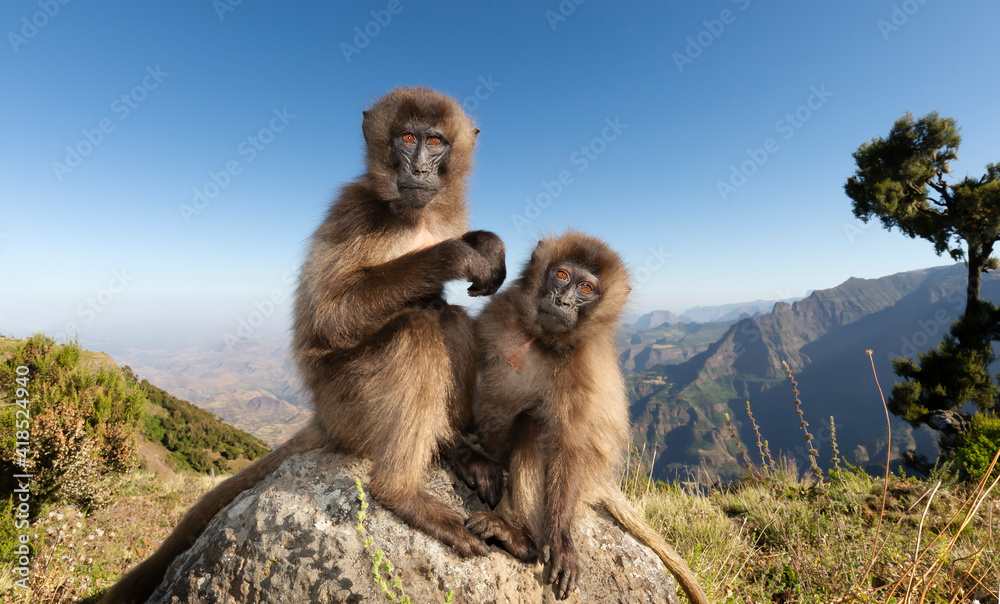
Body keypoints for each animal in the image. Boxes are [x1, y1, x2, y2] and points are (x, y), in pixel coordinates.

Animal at [100, 87, 505, 604]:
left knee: (450, 320)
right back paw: (401, 493)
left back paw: (455, 449)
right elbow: (327, 320)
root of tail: (323, 418)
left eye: (435, 142)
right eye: (407, 138)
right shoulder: (356, 211)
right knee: (417, 330)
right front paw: (455, 253)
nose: (418, 170)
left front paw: (485, 243)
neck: (413, 216)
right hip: (349, 403)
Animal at [465, 232, 709, 603]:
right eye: (562, 275)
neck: (539, 339)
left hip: (587, 477)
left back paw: (523, 540)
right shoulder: (499, 313)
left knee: (532, 429)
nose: (563, 301)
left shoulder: (582, 367)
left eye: (585, 288)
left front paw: (560, 540)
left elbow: (569, 446)